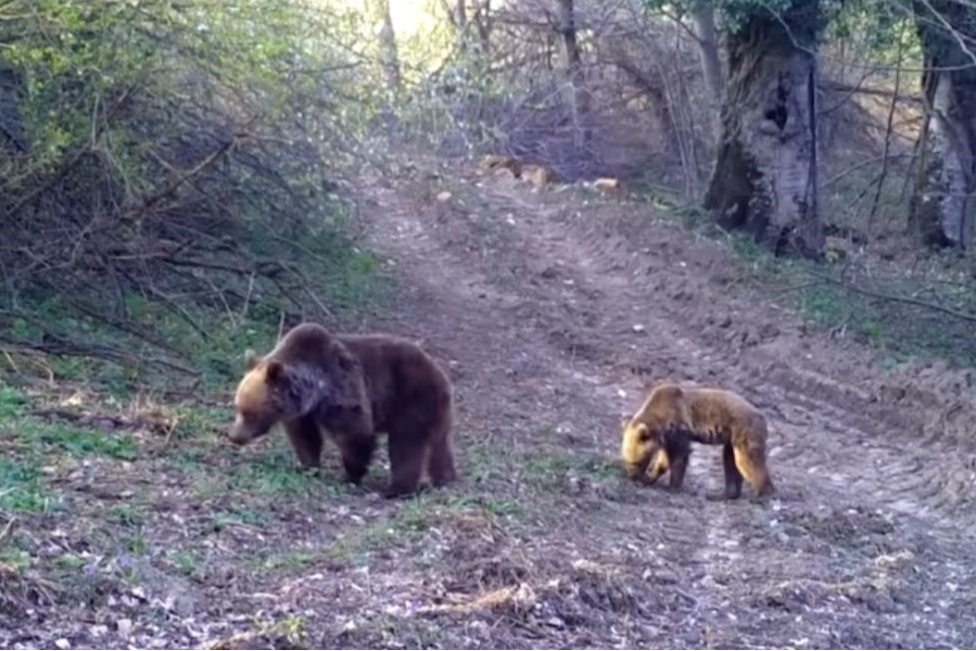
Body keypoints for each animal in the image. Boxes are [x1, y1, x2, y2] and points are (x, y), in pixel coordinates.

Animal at [229, 322, 458, 500]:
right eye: (237, 407)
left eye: (250, 413)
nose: (234, 436)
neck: (314, 391)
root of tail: (440, 373)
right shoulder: (304, 412)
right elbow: (306, 438)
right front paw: (307, 466)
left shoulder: (341, 388)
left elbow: (355, 431)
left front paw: (351, 475)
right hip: (436, 411)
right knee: (440, 446)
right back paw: (444, 479)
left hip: (412, 400)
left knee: (406, 445)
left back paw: (397, 489)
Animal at [620, 382, 772, 500]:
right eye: (626, 459)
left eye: (636, 461)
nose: (632, 476)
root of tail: (763, 416)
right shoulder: (666, 438)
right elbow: (663, 459)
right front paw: (649, 477)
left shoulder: (678, 429)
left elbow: (679, 457)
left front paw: (672, 486)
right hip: (731, 441)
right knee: (730, 462)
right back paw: (723, 495)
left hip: (744, 430)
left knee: (748, 461)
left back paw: (762, 494)